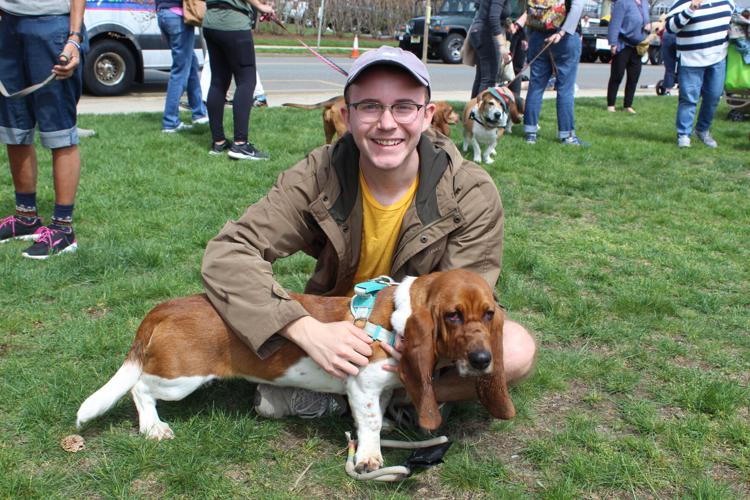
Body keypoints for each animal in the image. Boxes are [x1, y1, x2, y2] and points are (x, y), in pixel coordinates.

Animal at [76, 270, 516, 472]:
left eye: (488, 314)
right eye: (452, 316)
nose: (483, 361)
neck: (396, 317)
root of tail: (167, 306)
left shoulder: (383, 387)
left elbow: (380, 411)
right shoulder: (362, 385)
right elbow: (369, 422)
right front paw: (369, 457)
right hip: (180, 379)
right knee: (139, 389)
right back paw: (153, 427)